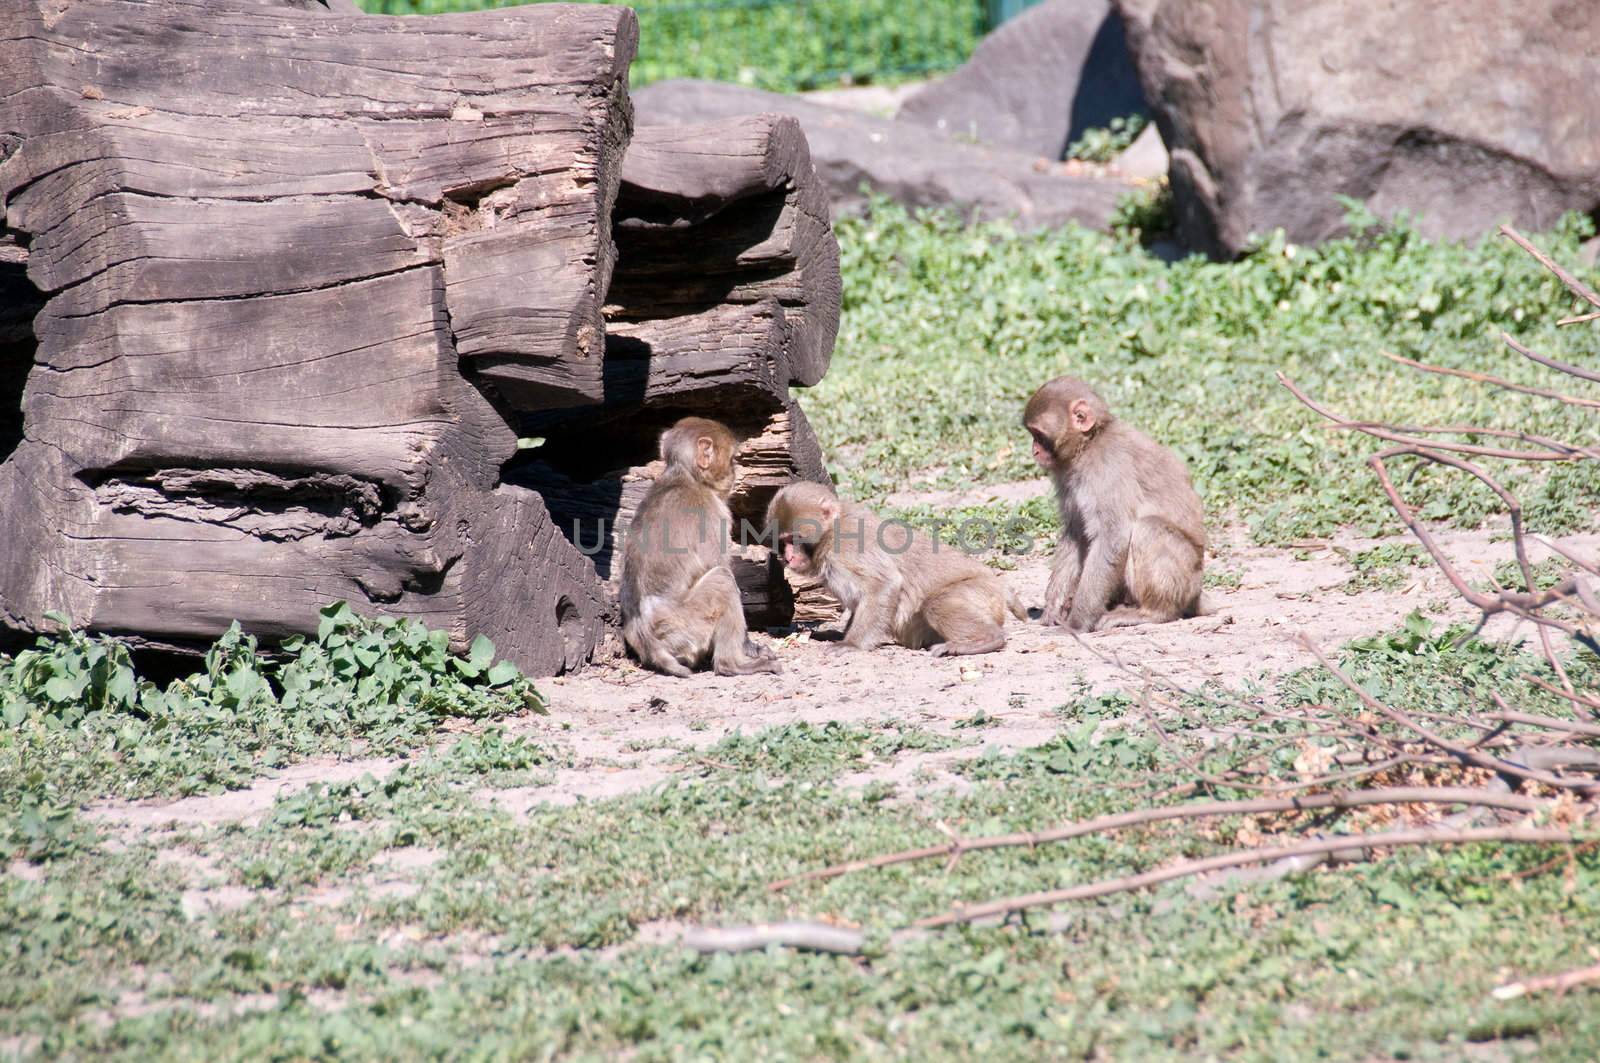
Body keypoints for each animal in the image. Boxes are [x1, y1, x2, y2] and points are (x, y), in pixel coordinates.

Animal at [617, 416, 780, 675]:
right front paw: (749, 646)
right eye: (732, 459)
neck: (686, 476)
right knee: (722, 579)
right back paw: (732, 664)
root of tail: (649, 643)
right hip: (686, 624)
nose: (734, 473)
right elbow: (719, 566)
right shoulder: (713, 513)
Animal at [764, 483, 1024, 656]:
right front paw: (841, 634)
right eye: (783, 541)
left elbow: (883, 585)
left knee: (936, 604)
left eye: (795, 539)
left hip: (982, 591)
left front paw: (852, 643)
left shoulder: (848, 547)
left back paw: (985, 641)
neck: (829, 534)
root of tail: (999, 586)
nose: (788, 557)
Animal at [1024, 377, 1203, 630]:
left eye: (1039, 436)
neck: (1090, 443)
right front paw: (1054, 609)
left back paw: (1154, 613)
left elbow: (1112, 536)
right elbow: (1076, 534)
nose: (1034, 451)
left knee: (1149, 529)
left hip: (1187, 578)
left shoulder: (1108, 468)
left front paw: (1077, 622)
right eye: (1033, 434)